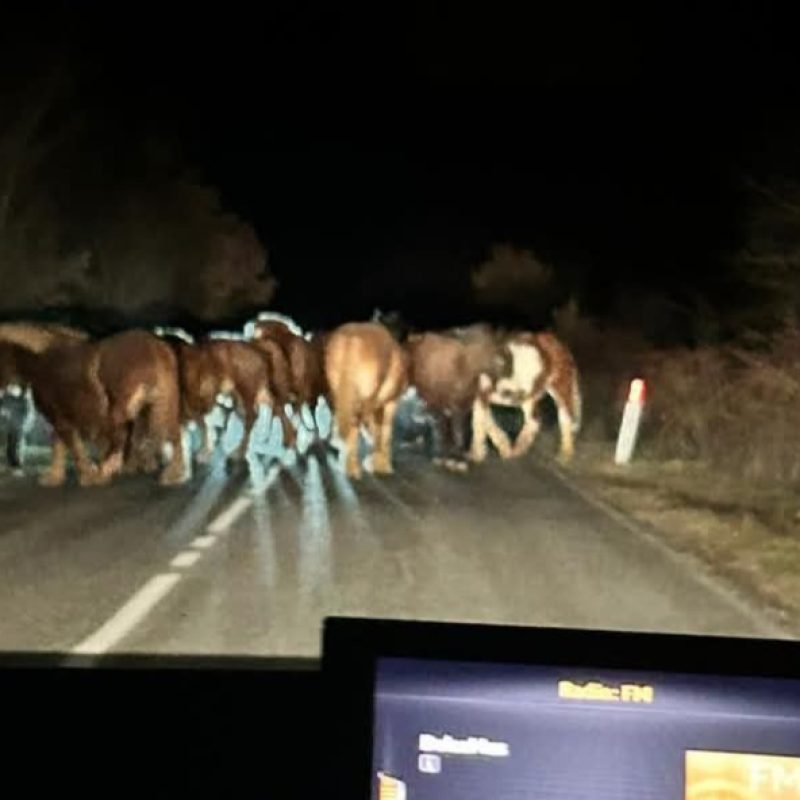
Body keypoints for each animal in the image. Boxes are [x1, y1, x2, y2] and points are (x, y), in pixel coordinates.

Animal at [7, 328, 185, 484]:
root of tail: (157, 343)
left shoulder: (76, 418)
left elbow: (76, 447)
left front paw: (92, 475)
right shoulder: (62, 417)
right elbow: (61, 445)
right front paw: (55, 477)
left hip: (143, 408)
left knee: (157, 435)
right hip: (154, 407)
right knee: (161, 435)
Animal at [324, 322, 406, 478]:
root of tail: (350, 341)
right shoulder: (390, 403)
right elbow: (385, 431)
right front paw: (383, 465)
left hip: (342, 391)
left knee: (350, 422)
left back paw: (350, 465)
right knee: (357, 424)